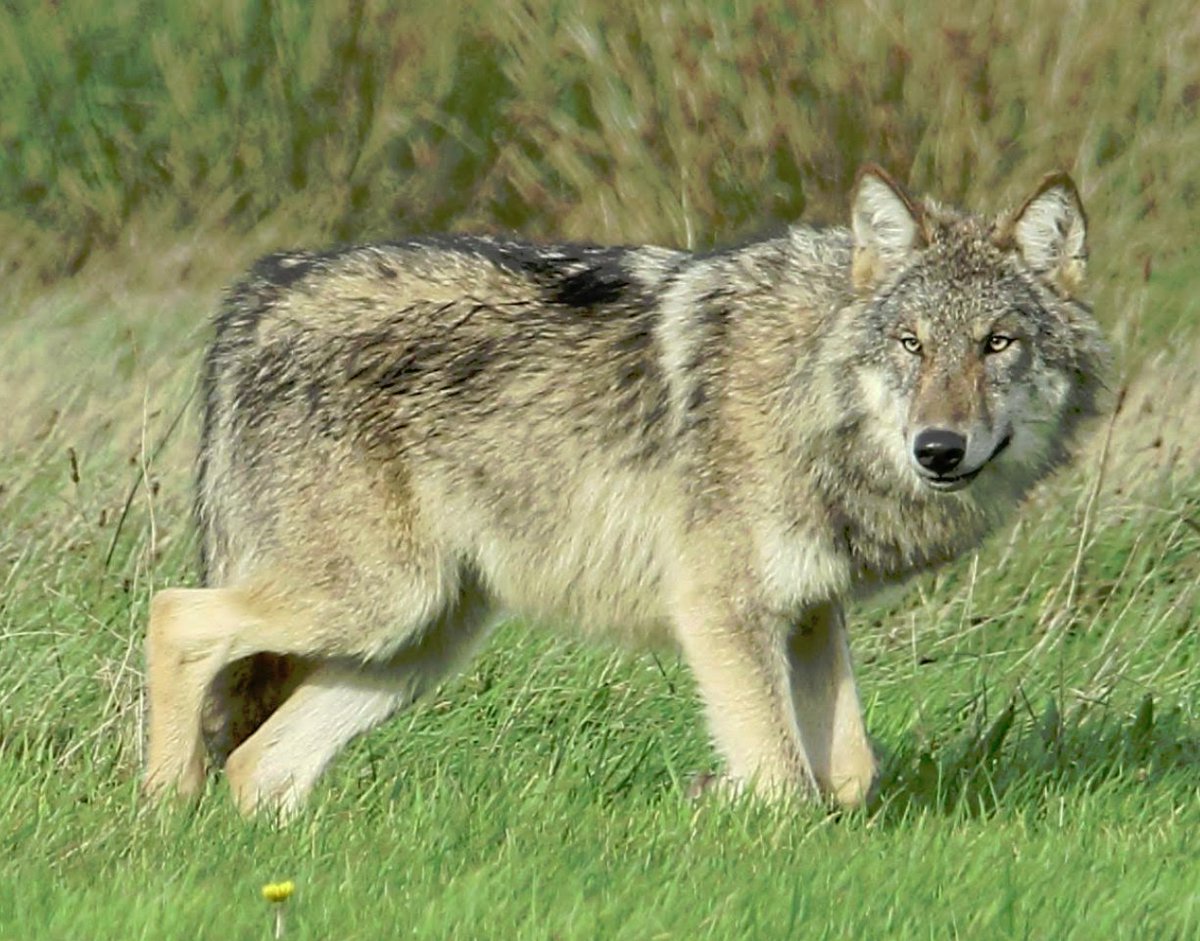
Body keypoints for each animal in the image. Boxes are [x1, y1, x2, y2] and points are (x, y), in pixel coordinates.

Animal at [143, 166, 1105, 817]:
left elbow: (850, 774)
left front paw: (716, 791)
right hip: (377, 604)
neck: (807, 385)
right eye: (911, 343)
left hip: (419, 638)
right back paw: (164, 804)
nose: (938, 449)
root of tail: (262, 290)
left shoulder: (805, 611)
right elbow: (785, 784)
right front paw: (734, 801)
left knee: (260, 763)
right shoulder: (719, 610)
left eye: (997, 342)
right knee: (176, 614)